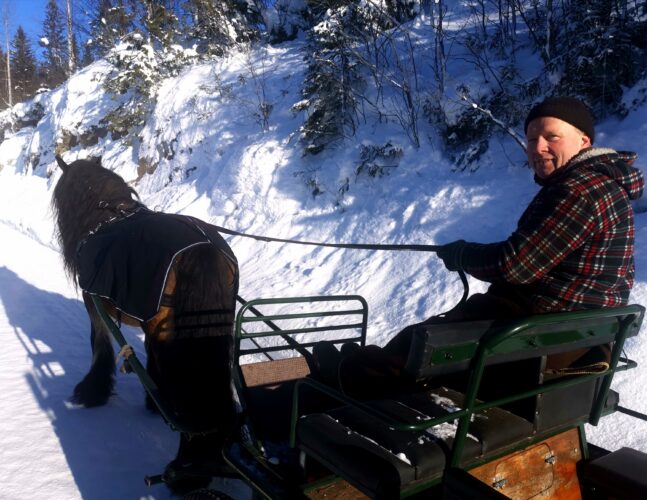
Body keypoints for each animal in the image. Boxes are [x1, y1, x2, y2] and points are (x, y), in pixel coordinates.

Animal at [52, 157, 240, 492]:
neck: (105, 217)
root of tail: (202, 249)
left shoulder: (94, 303)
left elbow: (99, 345)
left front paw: (92, 391)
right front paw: (154, 401)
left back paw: (186, 471)